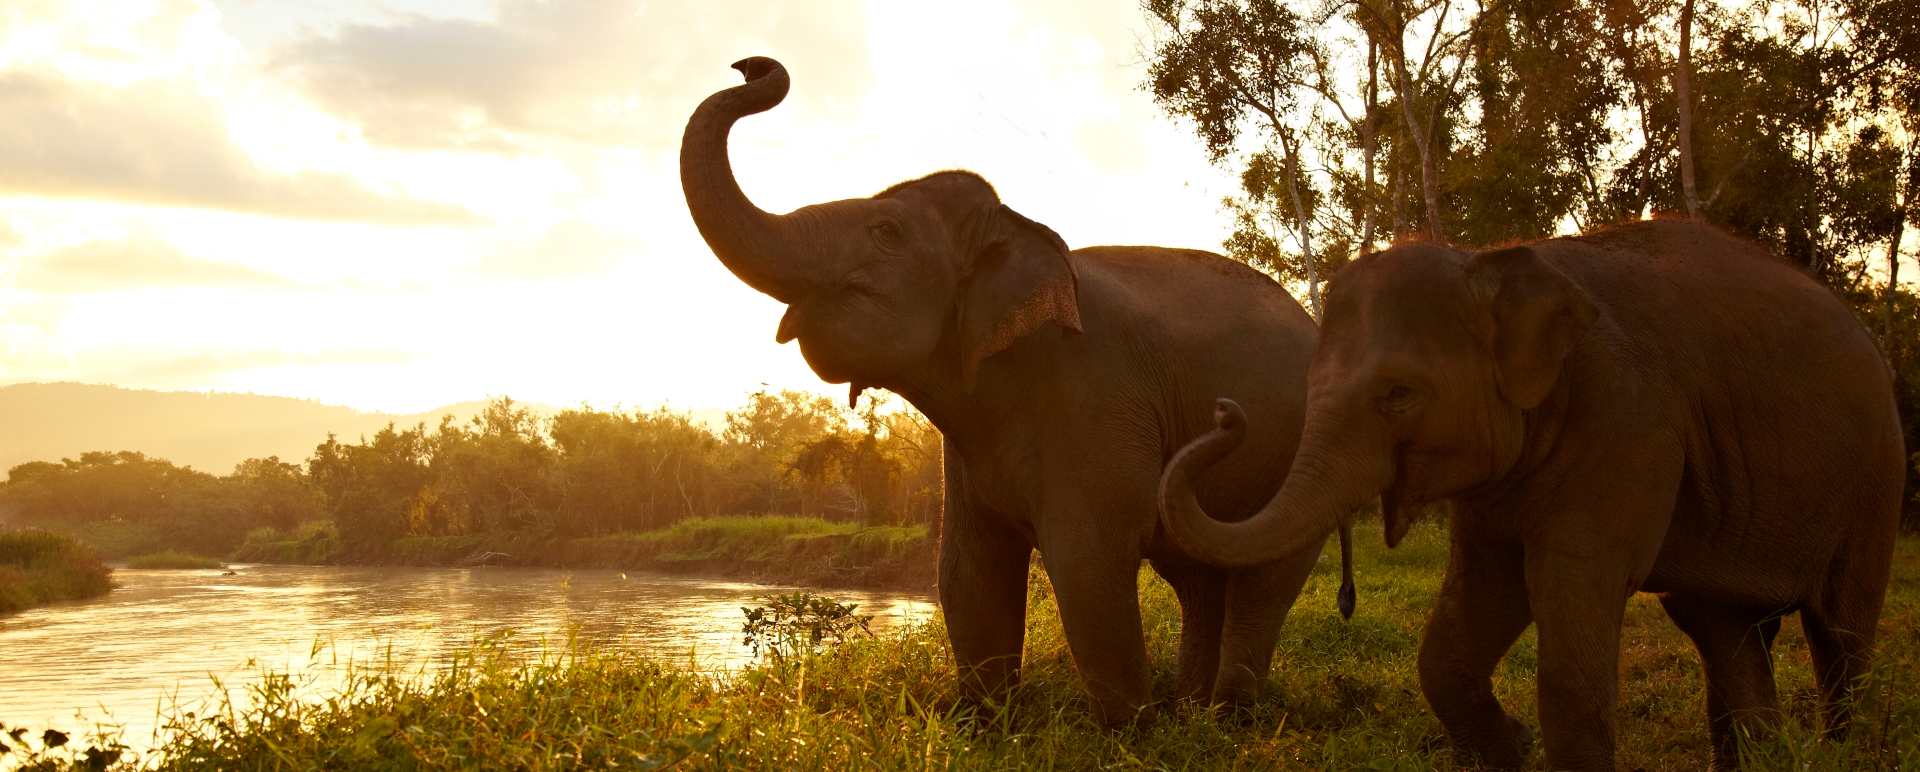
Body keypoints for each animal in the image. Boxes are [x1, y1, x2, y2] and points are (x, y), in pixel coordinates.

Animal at [681, 56, 1354, 725]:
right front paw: (984, 723)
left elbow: (1086, 557)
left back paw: (1227, 716)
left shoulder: (1093, 393)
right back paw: (1192, 711)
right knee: (1199, 578)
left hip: (1302, 455)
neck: (1018, 231)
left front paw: (1129, 730)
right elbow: (966, 569)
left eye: (886, 231)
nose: (750, 66)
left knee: (1261, 577)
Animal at [1159, 219, 1904, 768]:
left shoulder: (1627, 419)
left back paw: (1847, 749)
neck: (1493, 263)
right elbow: (1477, 600)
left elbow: (1569, 591)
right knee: (1723, 626)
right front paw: (1511, 748)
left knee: (1841, 627)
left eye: (1398, 394)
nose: (1226, 412)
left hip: (1876, 477)